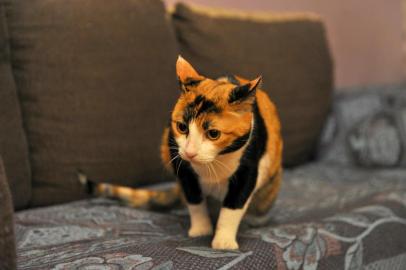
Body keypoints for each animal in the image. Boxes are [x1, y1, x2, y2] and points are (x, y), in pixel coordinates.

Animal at [82, 56, 282, 250]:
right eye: (182, 127)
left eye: (213, 134)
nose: (190, 152)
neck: (212, 165)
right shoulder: (181, 165)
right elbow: (194, 199)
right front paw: (201, 230)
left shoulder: (249, 167)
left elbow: (234, 205)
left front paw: (223, 241)